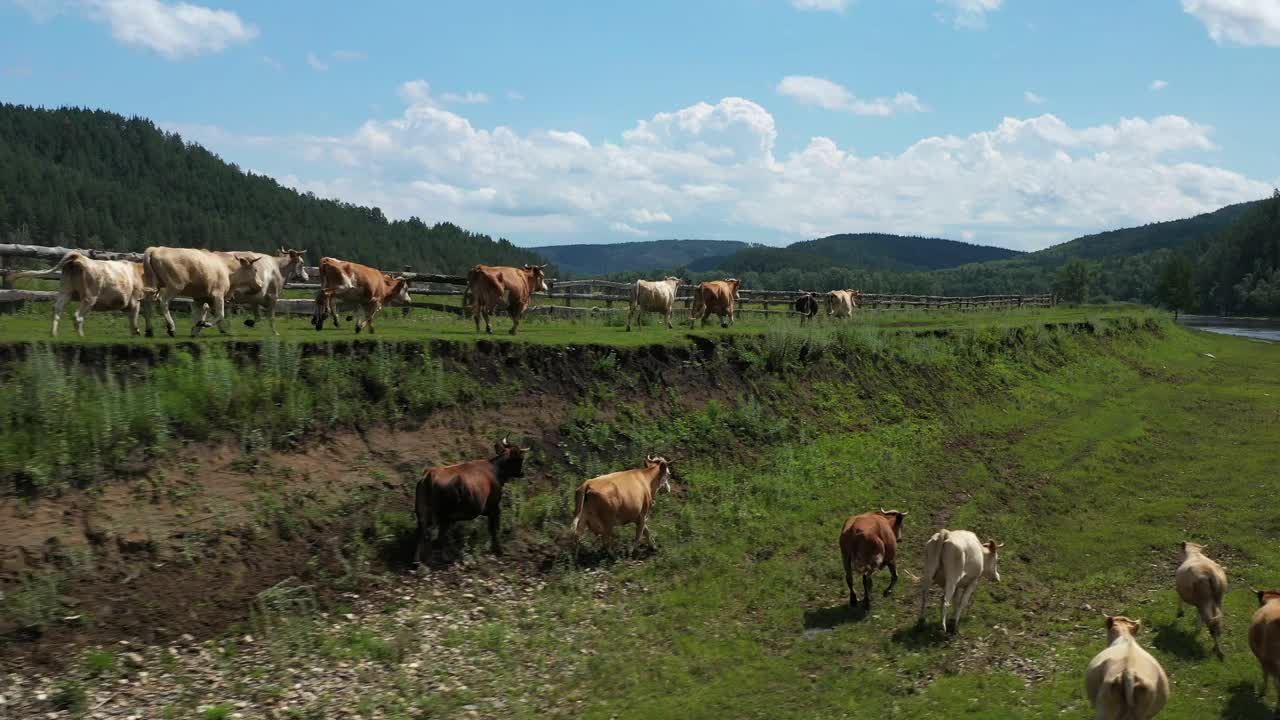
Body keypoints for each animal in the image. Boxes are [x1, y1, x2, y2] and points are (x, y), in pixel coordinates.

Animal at [8, 251, 152, 335]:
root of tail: (79, 257)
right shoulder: (135, 300)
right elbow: (134, 316)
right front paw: (136, 331)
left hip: (66, 292)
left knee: (58, 309)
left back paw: (54, 334)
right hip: (89, 297)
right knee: (77, 316)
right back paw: (81, 336)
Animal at [412, 435, 527, 563]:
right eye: (520, 458)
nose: (522, 473)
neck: (495, 469)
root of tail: (430, 474)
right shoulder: (494, 507)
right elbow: (494, 529)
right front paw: (498, 550)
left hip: (423, 512)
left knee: (423, 532)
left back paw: (418, 560)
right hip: (442, 515)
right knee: (434, 534)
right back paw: (439, 558)